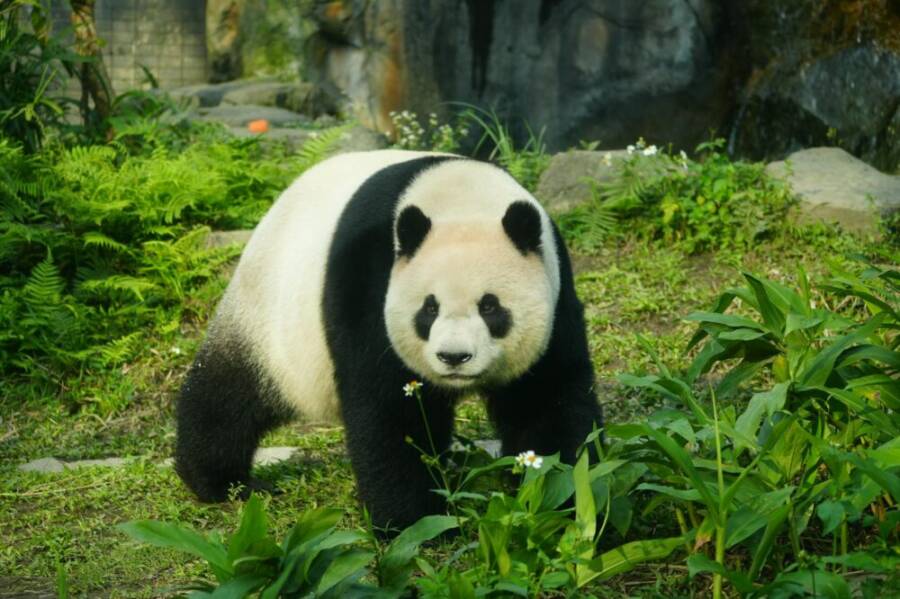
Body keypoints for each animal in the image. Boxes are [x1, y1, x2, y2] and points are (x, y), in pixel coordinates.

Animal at [175, 150, 602, 532]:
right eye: (429, 308)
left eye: (490, 306)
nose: (454, 357)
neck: (463, 200)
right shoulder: (371, 279)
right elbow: (387, 408)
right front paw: (411, 521)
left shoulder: (555, 292)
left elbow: (546, 397)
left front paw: (561, 495)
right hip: (270, 318)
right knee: (228, 394)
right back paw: (222, 480)